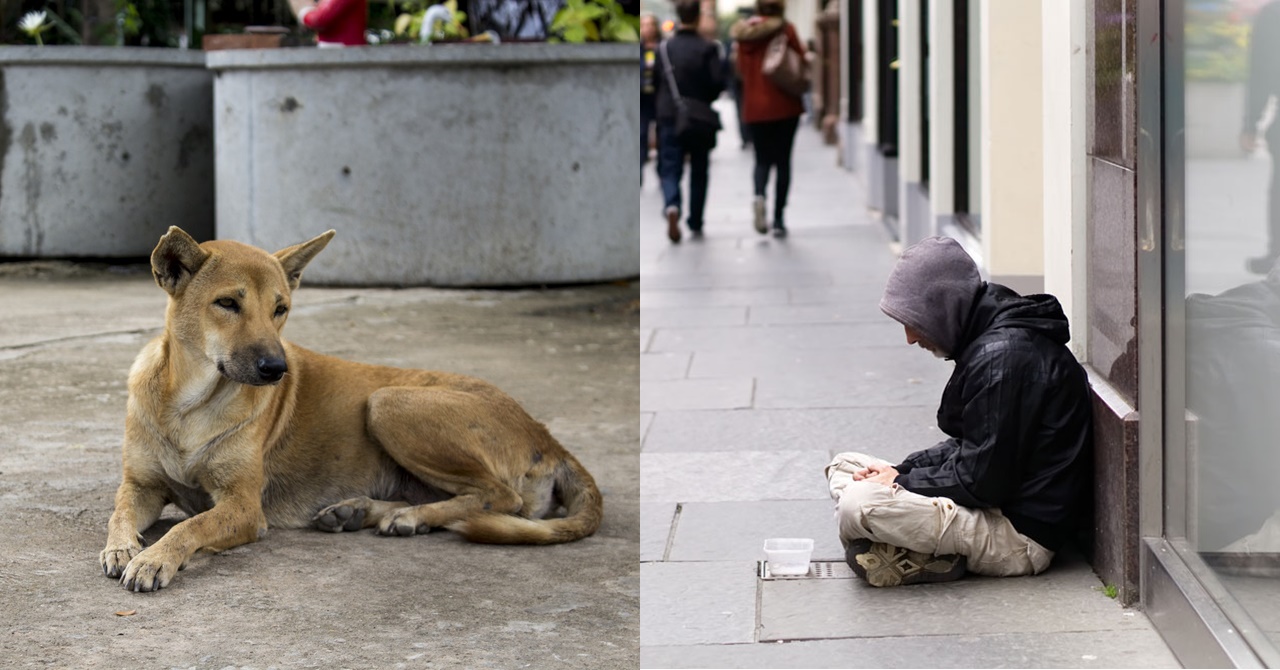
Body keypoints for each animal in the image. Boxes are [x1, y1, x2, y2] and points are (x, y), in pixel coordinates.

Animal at [97, 229, 601, 591]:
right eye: (226, 303)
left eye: (281, 309)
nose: (277, 368)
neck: (190, 404)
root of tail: (548, 438)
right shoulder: (141, 486)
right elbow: (119, 511)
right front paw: (122, 547)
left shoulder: (243, 507)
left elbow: (192, 525)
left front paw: (155, 557)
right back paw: (361, 511)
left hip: (389, 402)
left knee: (501, 496)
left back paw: (410, 517)